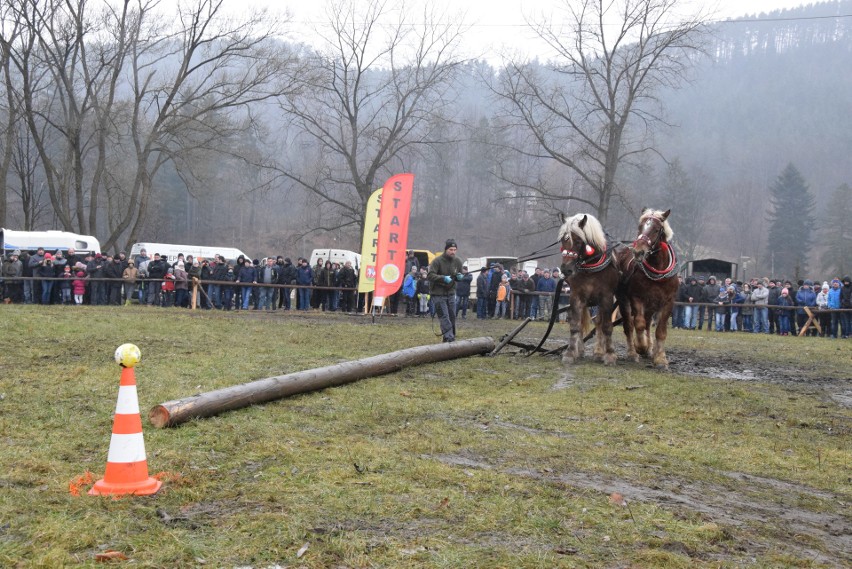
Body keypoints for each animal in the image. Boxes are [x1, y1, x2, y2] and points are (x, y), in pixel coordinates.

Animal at [560, 212, 620, 364]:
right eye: (562, 241)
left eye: (578, 241)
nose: (566, 269)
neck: (591, 268)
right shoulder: (576, 295)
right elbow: (575, 325)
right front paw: (570, 353)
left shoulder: (606, 297)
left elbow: (606, 326)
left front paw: (610, 354)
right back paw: (581, 350)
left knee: (599, 322)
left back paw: (599, 352)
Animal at [620, 209, 680, 368]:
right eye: (640, 226)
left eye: (657, 229)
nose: (638, 251)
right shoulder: (637, 297)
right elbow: (639, 324)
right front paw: (641, 346)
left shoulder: (668, 302)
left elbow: (661, 331)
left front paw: (660, 358)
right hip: (625, 300)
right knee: (629, 325)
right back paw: (633, 352)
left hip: (652, 305)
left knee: (647, 323)